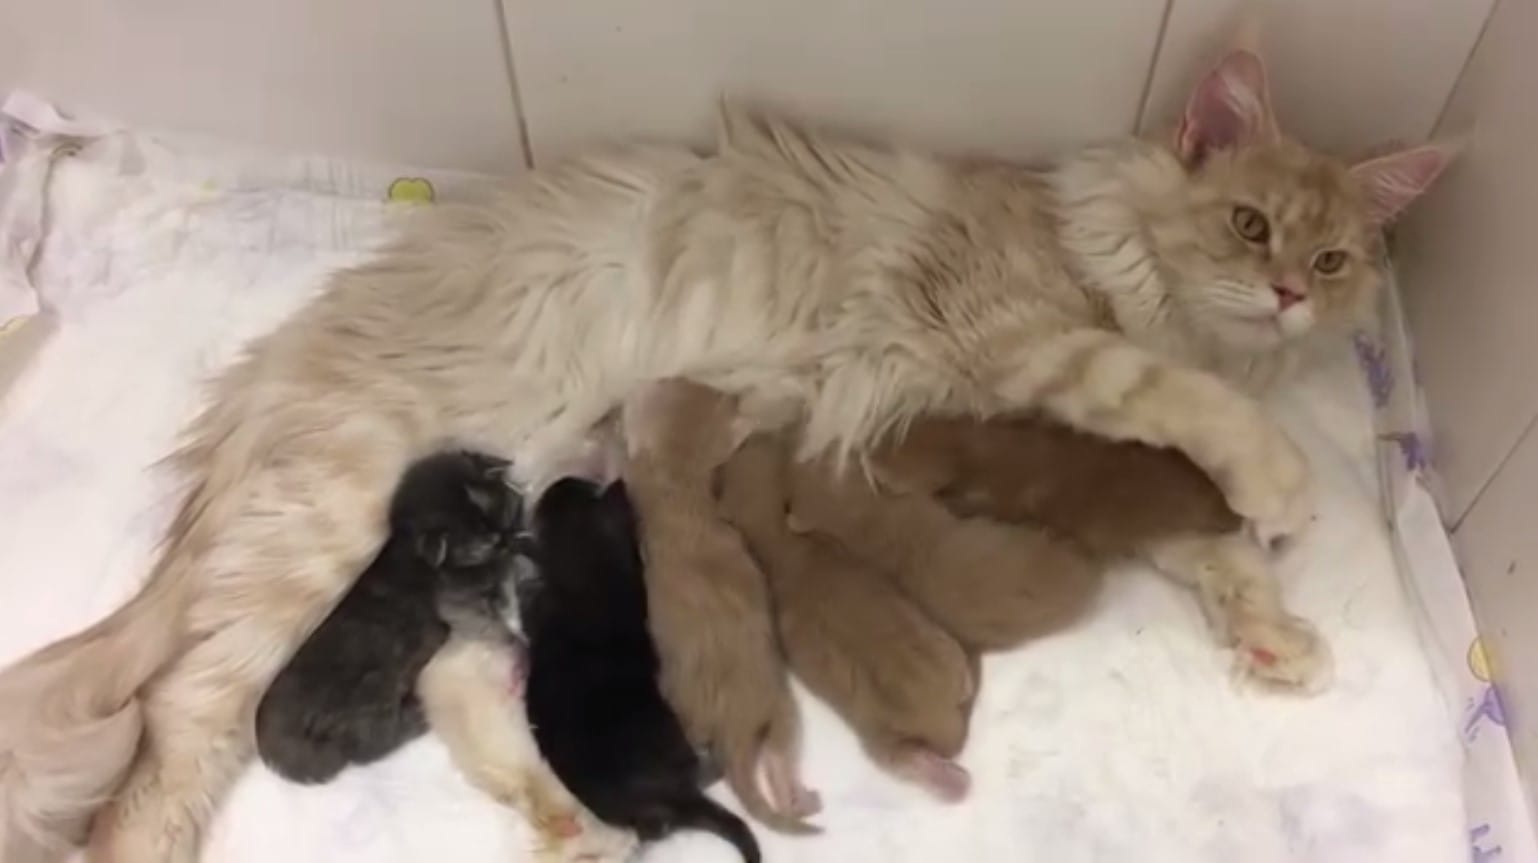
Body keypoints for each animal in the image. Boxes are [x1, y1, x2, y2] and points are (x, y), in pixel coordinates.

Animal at [618, 379, 820, 832]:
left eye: (668, 384)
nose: (654, 379)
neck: (681, 484)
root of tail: (735, 730)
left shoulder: (639, 481)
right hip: (783, 711)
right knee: (780, 757)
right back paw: (798, 799)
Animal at [718, 431, 977, 802]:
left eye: (752, 447)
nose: (753, 436)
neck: (781, 545)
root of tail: (945, 726)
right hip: (919, 684)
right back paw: (955, 780)